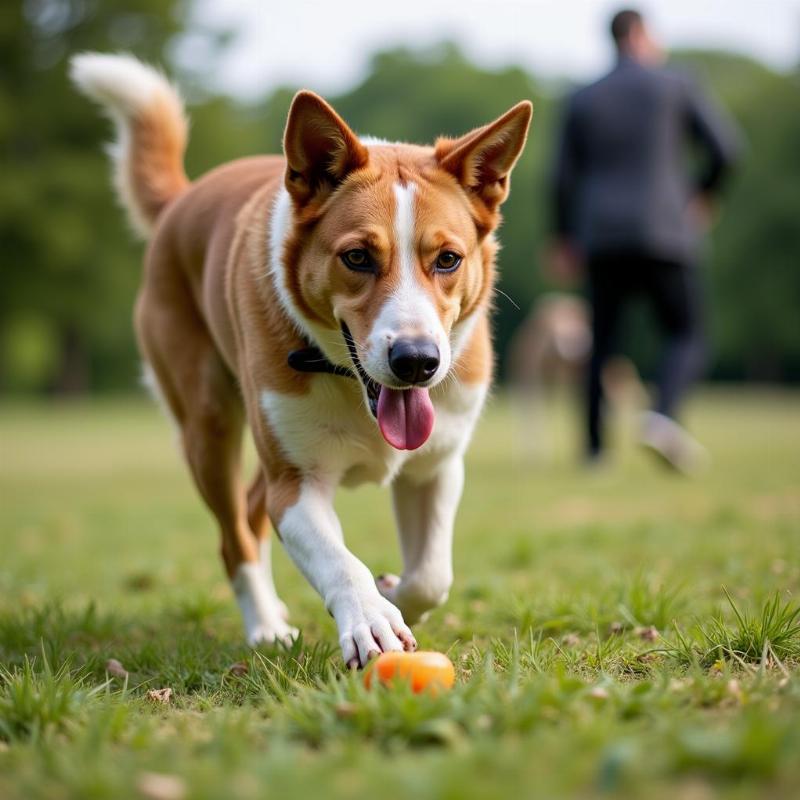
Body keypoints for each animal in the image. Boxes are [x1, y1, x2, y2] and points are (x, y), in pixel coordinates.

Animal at [69, 53, 532, 664]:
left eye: (448, 259)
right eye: (357, 257)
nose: (417, 361)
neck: (348, 382)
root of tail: (182, 200)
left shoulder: (436, 465)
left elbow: (432, 575)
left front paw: (394, 594)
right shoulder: (296, 482)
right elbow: (338, 560)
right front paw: (371, 617)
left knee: (251, 507)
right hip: (208, 426)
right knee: (235, 536)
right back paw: (265, 624)